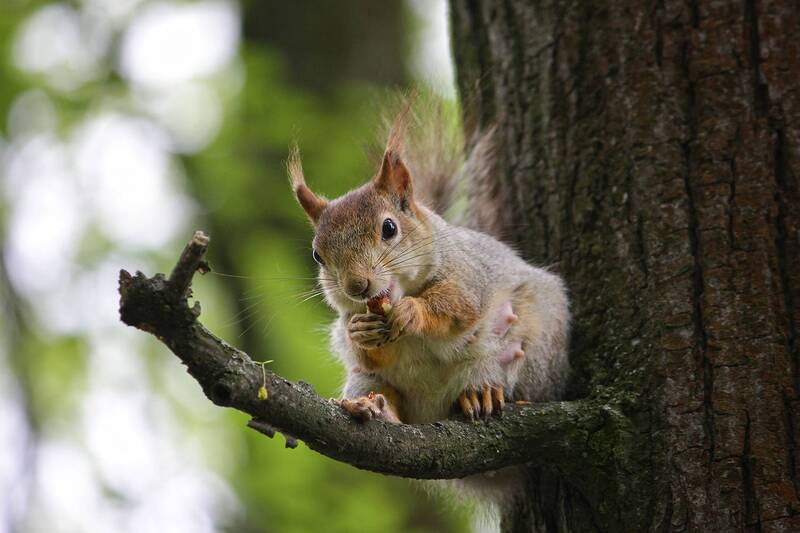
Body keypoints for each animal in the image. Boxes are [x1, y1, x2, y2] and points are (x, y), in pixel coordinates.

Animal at [287, 110, 570, 431]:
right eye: (318, 255)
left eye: (389, 228)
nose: (356, 286)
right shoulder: (354, 325)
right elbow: (372, 355)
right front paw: (360, 331)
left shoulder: (468, 275)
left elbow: (459, 304)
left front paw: (413, 311)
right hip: (365, 379)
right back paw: (373, 407)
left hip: (531, 348)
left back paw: (481, 393)